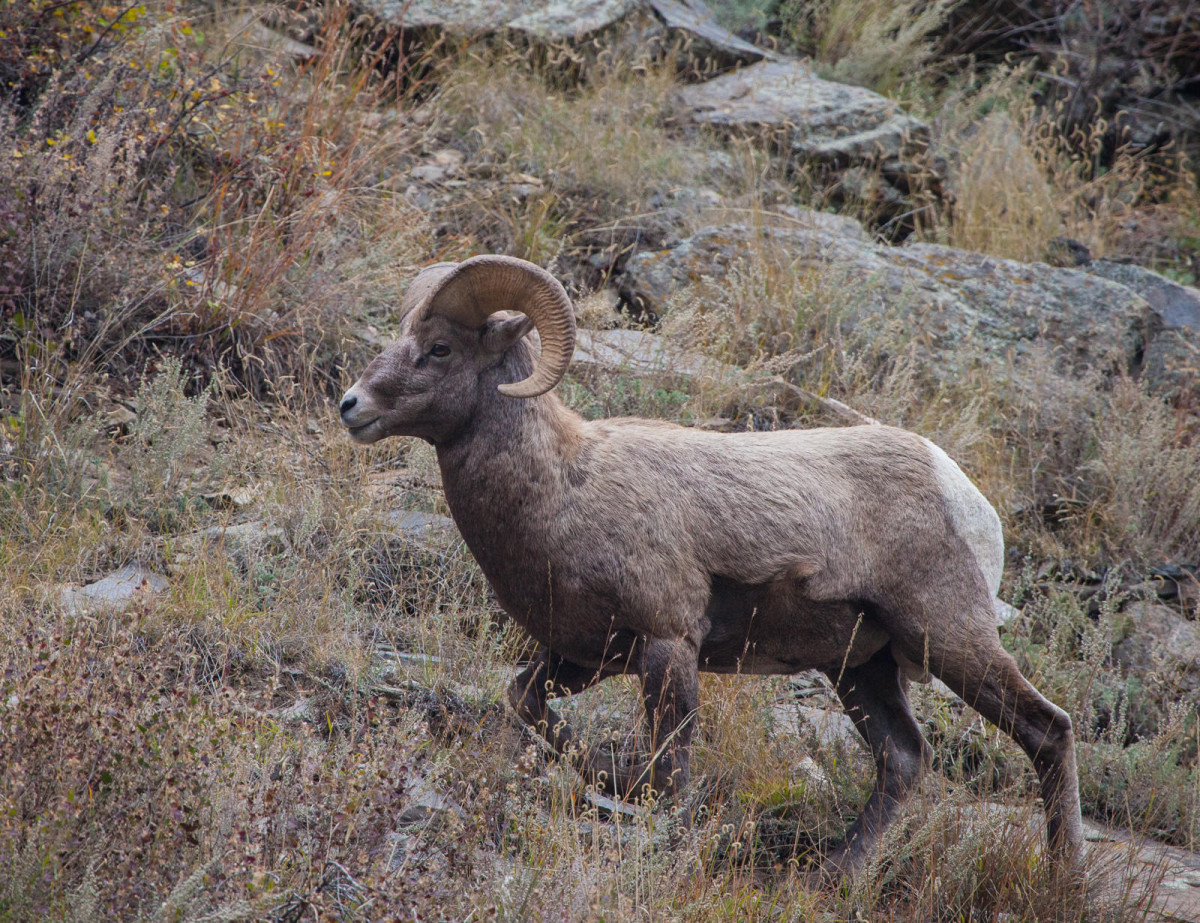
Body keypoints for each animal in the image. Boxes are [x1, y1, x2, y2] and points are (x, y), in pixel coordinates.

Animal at [339, 254, 1082, 878]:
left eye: (440, 348)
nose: (352, 406)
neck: (563, 484)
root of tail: (965, 493)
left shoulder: (668, 644)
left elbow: (668, 772)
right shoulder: (584, 655)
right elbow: (525, 702)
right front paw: (602, 770)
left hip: (950, 637)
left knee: (1047, 731)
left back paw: (1064, 876)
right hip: (862, 667)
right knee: (903, 759)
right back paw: (832, 875)